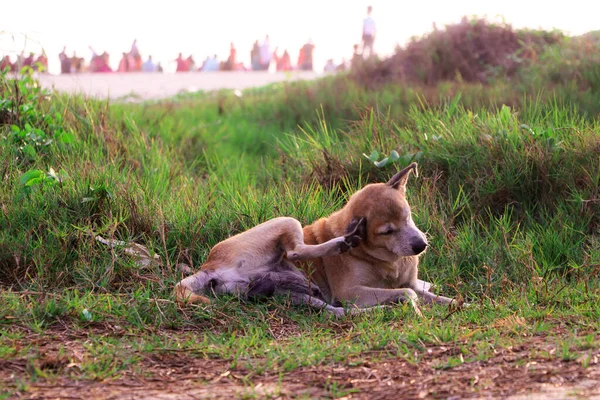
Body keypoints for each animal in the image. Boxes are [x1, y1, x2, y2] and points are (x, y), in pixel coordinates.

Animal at [176, 162, 452, 316]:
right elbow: (408, 292)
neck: (386, 260)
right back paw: (339, 244)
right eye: (387, 231)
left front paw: (458, 304)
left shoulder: (412, 283)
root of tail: (208, 266)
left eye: (408, 216)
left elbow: (436, 297)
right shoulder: (351, 291)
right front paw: (413, 307)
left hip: (296, 295)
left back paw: (378, 310)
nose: (421, 246)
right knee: (297, 251)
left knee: (338, 312)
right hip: (286, 220)